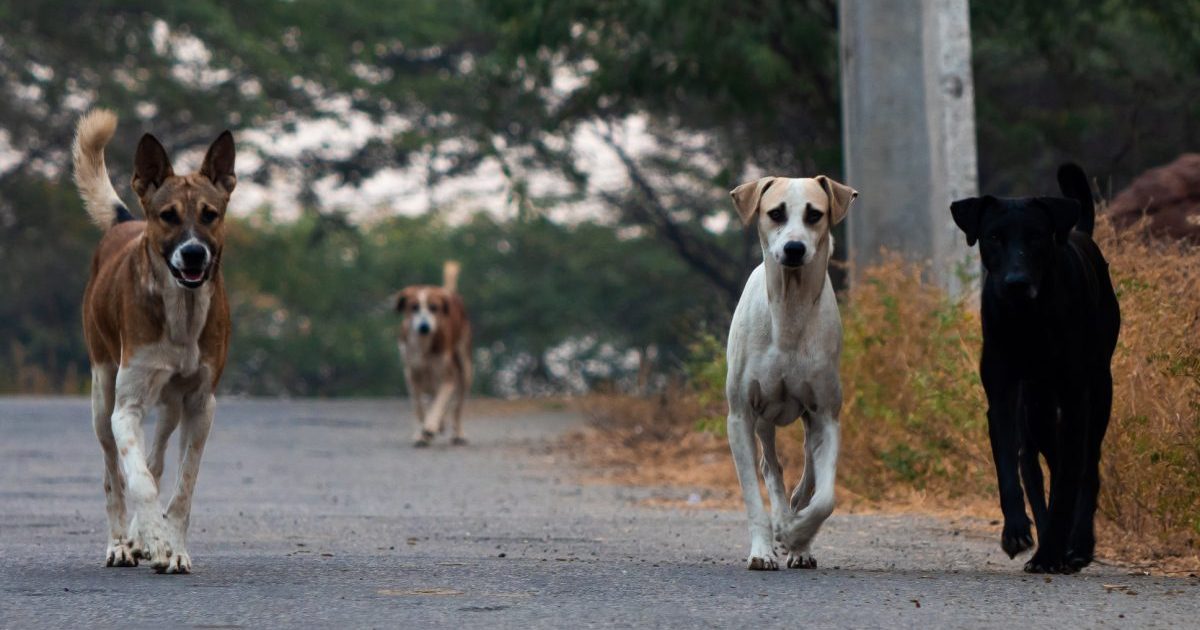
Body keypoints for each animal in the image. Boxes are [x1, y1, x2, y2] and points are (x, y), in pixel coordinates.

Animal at [74, 109, 236, 573]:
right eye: (168, 215)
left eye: (210, 214)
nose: (194, 253)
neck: (181, 312)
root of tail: (126, 222)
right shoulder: (126, 407)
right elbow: (139, 482)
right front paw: (155, 540)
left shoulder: (200, 405)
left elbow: (182, 485)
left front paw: (173, 547)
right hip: (102, 392)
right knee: (114, 473)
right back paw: (120, 543)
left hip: (170, 408)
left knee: (157, 458)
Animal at [393, 260, 468, 446]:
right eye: (414, 307)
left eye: (434, 308)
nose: (424, 326)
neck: (422, 346)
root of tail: (448, 293)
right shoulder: (411, 374)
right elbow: (418, 406)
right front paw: (421, 434)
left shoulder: (448, 376)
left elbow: (440, 401)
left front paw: (431, 426)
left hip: (465, 365)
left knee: (457, 405)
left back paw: (457, 433)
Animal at [724, 172, 859, 568]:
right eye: (776, 213)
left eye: (814, 214)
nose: (795, 249)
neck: (789, 310)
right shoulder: (740, 414)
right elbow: (753, 493)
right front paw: (763, 549)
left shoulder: (826, 413)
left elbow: (825, 498)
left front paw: (798, 535)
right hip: (763, 418)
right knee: (771, 466)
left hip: (809, 419)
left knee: (808, 475)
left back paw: (797, 536)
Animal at [950, 163, 1118, 573]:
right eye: (994, 237)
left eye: (1037, 237)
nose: (1016, 283)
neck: (1028, 319)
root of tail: (1080, 231)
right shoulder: (1002, 395)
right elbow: (1008, 468)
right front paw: (1016, 532)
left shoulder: (1075, 401)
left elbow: (1068, 483)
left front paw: (1054, 550)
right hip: (1038, 408)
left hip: (1098, 390)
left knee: (1087, 467)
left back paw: (1077, 546)